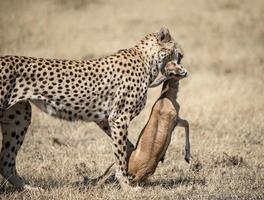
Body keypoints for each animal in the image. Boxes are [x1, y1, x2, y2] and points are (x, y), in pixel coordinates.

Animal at [0, 27, 182, 190]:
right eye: (177, 51)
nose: (182, 56)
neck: (147, 61)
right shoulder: (119, 117)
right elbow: (121, 154)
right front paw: (126, 186)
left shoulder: (106, 119)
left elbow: (128, 148)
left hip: (20, 116)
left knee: (6, 161)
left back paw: (28, 188)